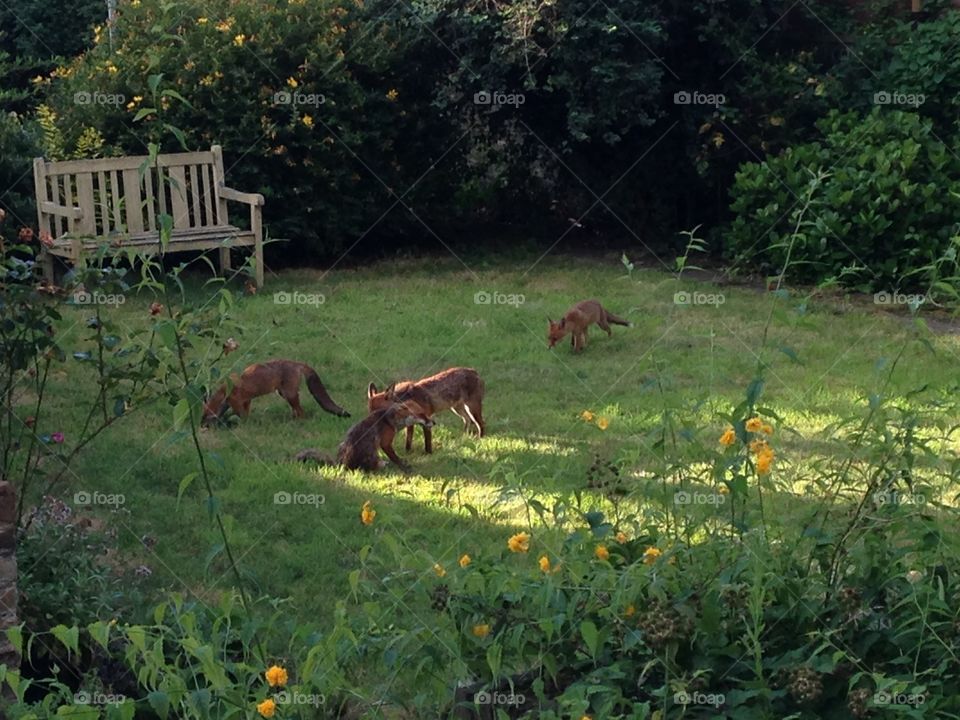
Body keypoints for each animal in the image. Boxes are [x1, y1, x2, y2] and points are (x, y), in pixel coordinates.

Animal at [202, 359, 350, 425]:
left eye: (204, 416)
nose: (201, 426)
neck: (224, 392)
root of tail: (296, 363)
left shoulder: (237, 401)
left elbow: (242, 416)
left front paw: (244, 425)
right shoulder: (246, 400)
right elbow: (245, 413)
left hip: (289, 394)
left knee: (301, 412)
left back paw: (298, 423)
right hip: (284, 394)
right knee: (296, 410)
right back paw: (292, 420)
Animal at [296, 402, 433, 472]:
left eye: (426, 414)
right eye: (422, 414)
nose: (434, 422)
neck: (390, 420)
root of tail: (341, 464)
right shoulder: (385, 443)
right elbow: (395, 457)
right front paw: (403, 467)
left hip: (343, 444)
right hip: (373, 452)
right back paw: (382, 464)